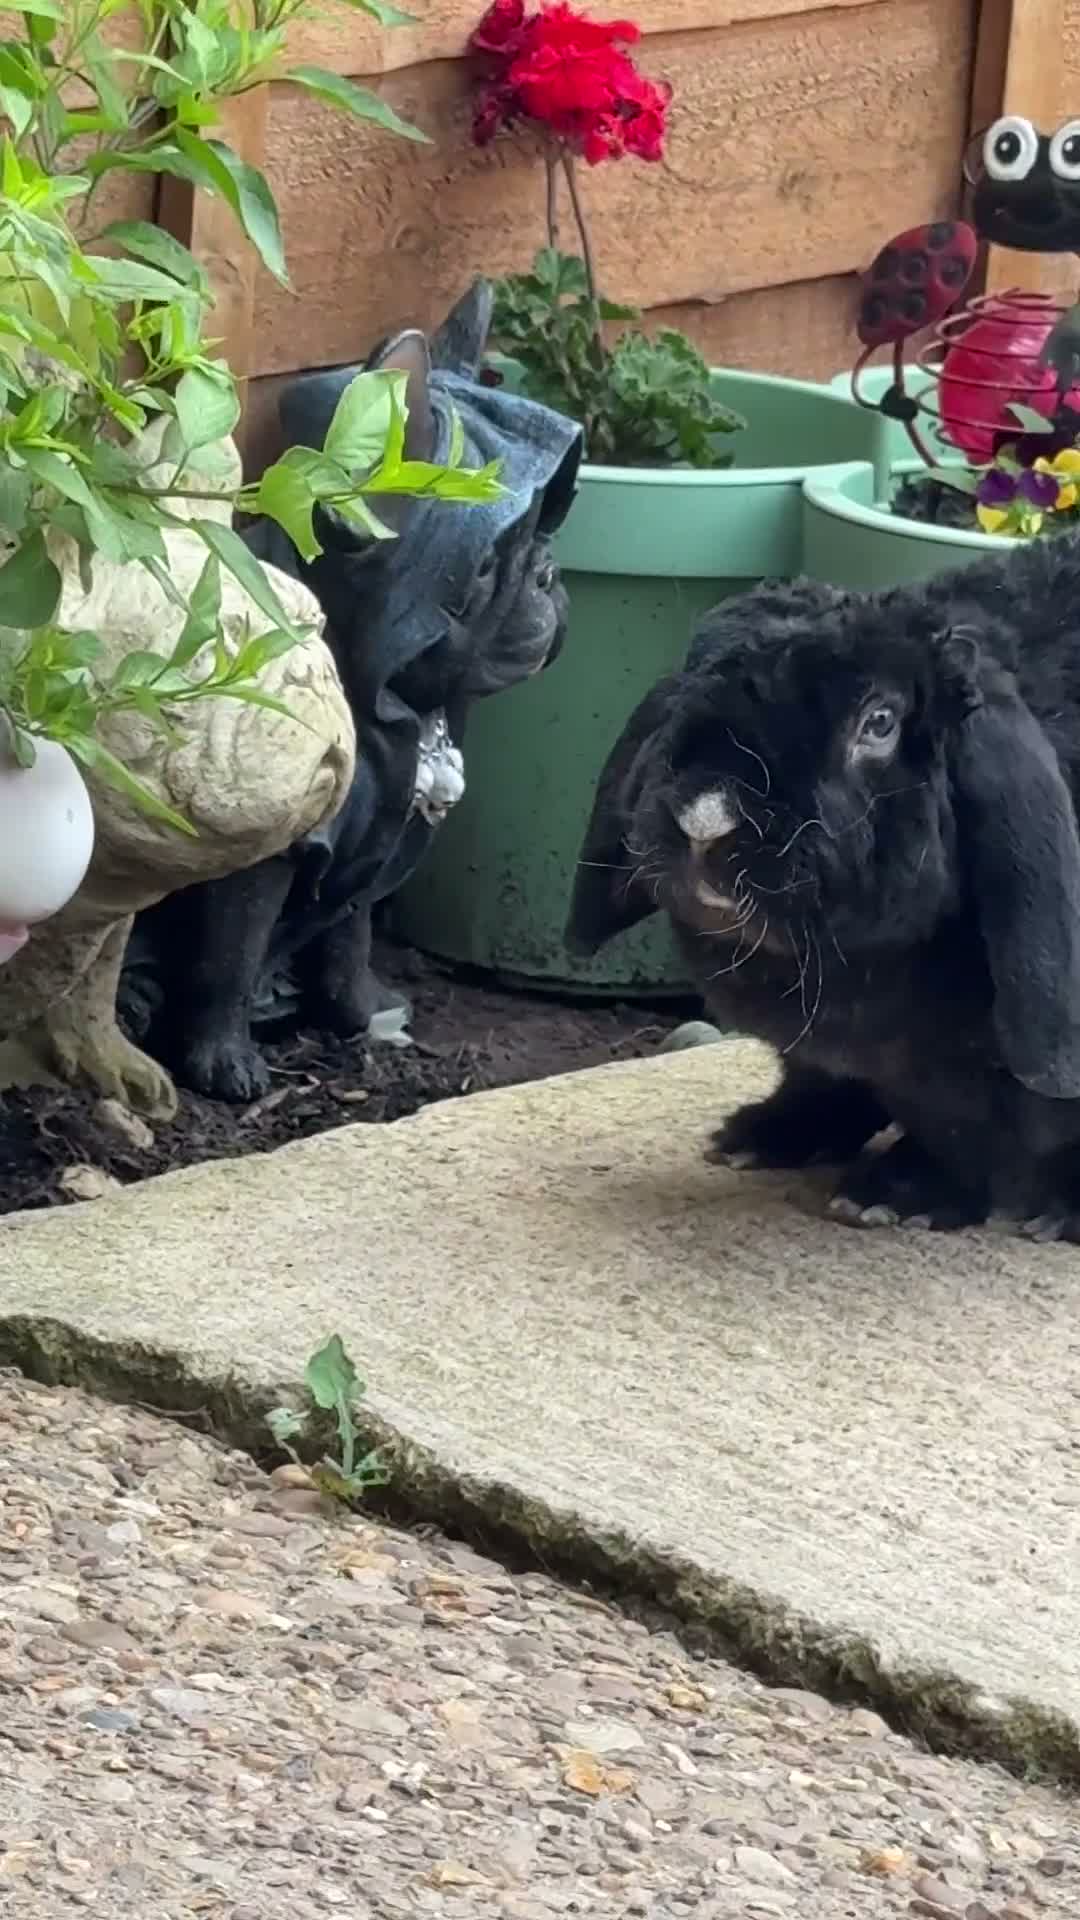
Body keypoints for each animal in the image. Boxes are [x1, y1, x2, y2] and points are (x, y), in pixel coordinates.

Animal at [566, 544, 1080, 1240]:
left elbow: (972, 1138)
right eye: (693, 679)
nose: (705, 821)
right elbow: (820, 1081)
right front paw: (759, 1136)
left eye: (880, 722)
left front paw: (896, 1194)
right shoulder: (825, 1054)